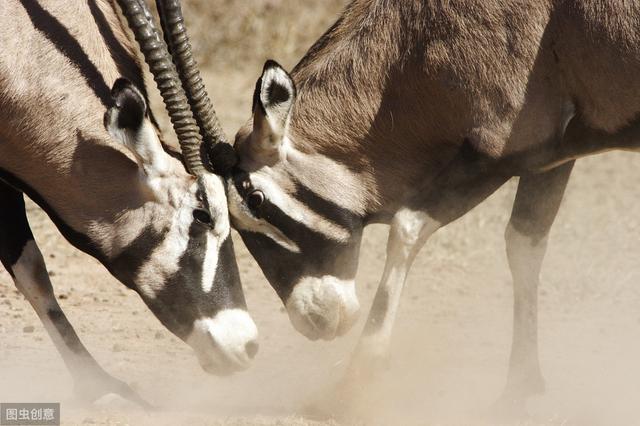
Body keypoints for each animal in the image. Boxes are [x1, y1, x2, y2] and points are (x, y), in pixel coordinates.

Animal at [228, 0, 640, 400]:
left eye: (256, 198)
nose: (316, 321)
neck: (418, 37)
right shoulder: (548, 157)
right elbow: (525, 245)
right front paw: (522, 386)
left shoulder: (493, 156)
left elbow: (406, 227)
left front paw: (357, 379)